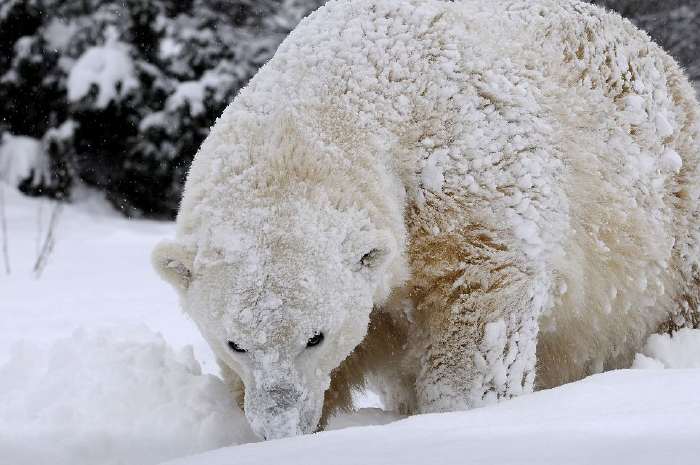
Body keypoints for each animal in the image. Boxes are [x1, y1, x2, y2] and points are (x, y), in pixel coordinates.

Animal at [153, 0, 700, 438]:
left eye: (315, 337)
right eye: (234, 343)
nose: (279, 425)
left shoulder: (467, 177)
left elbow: (480, 303)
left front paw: (457, 415)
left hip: (676, 216)